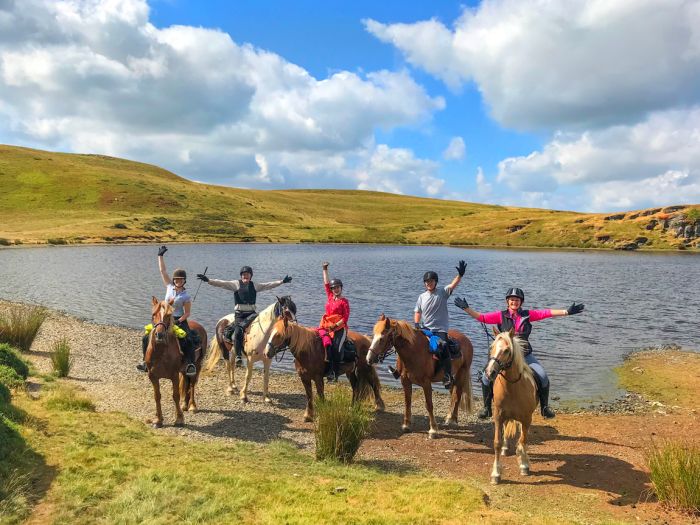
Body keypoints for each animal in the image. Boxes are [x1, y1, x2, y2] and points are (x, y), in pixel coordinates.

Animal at [144, 296, 205, 428]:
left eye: (168, 315)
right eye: (154, 314)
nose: (159, 335)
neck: (161, 353)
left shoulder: (174, 375)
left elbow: (175, 395)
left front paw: (179, 419)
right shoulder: (153, 376)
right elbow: (157, 396)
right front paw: (158, 420)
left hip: (197, 365)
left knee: (192, 384)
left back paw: (192, 406)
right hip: (184, 370)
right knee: (187, 382)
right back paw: (185, 404)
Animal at [484, 328, 540, 484]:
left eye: (507, 350)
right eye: (492, 347)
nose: (489, 372)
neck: (513, 387)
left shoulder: (527, 418)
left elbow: (523, 440)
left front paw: (524, 465)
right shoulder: (498, 416)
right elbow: (496, 443)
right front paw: (496, 474)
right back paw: (505, 448)